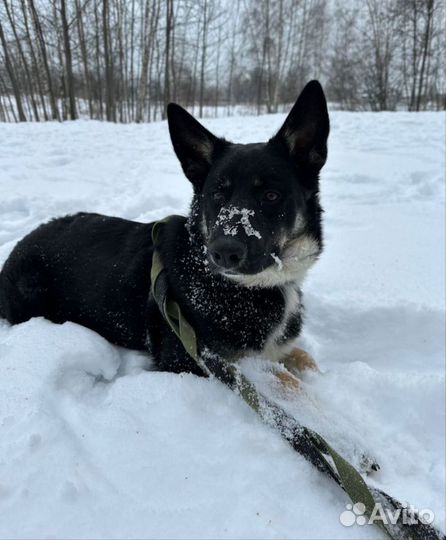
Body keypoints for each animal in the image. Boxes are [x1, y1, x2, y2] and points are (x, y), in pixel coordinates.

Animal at [0, 81, 328, 376]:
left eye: (271, 195)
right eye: (217, 194)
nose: (223, 253)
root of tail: (19, 245)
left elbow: (303, 360)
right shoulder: (192, 361)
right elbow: (283, 379)